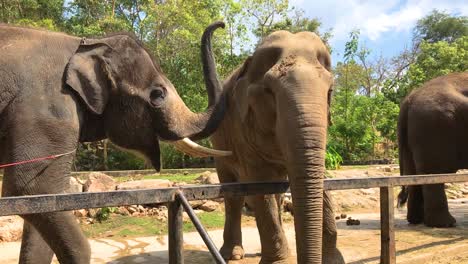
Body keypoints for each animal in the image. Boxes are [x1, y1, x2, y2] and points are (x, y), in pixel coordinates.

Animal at [0, 21, 230, 262]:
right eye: (158, 95)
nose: (222, 24)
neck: (86, 43)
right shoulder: (48, 111)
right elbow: (31, 188)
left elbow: (42, 201)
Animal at [210, 31, 342, 264]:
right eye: (269, 91)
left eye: (330, 90)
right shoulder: (241, 128)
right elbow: (260, 188)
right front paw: (278, 261)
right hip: (220, 146)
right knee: (233, 193)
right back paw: (232, 254)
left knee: (277, 192)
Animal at [398, 71, 468, 227]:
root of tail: (409, 99)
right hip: (435, 126)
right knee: (434, 173)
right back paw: (445, 223)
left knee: (415, 174)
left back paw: (416, 220)